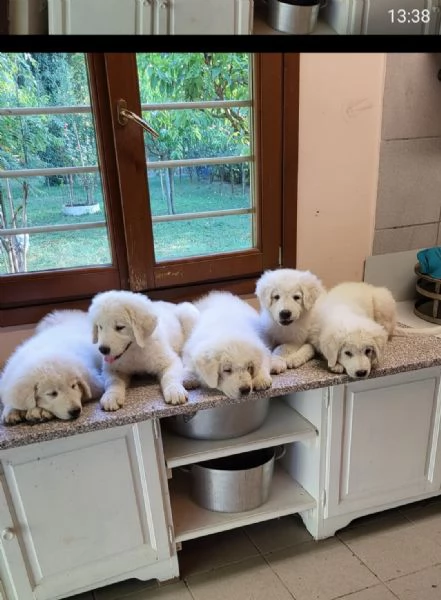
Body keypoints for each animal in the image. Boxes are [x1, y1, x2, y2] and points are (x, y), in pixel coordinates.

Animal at [308, 282, 440, 380]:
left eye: (368, 351)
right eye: (347, 353)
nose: (361, 373)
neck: (345, 313)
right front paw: (335, 365)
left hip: (383, 301)